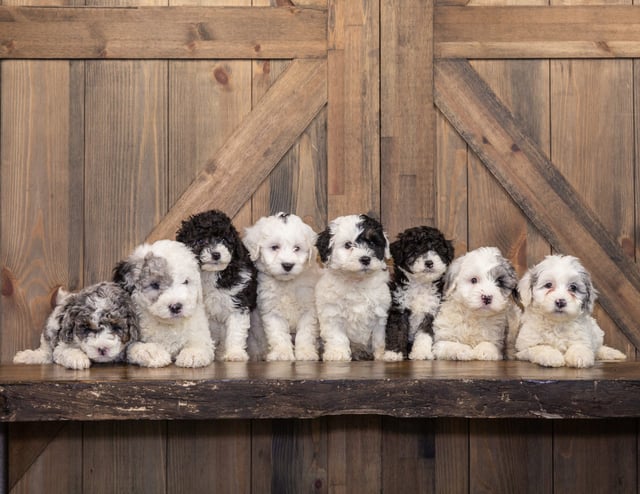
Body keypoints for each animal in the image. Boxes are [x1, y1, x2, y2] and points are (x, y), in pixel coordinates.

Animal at [176, 210, 258, 360]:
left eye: (224, 241)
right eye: (201, 241)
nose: (216, 254)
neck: (211, 274)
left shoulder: (238, 302)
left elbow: (236, 331)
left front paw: (235, 353)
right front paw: (200, 352)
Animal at [245, 211, 324, 358]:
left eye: (297, 248)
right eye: (274, 247)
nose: (287, 265)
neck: (287, 284)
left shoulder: (309, 310)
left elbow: (305, 333)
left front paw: (305, 353)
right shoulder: (272, 311)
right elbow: (278, 334)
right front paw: (281, 353)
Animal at [316, 214, 392, 360]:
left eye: (372, 243)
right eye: (348, 245)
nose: (365, 259)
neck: (357, 281)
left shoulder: (380, 313)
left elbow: (379, 338)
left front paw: (381, 354)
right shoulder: (332, 313)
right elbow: (337, 336)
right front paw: (338, 353)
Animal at [384, 226, 456, 360]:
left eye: (436, 250)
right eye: (414, 251)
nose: (429, 263)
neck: (420, 284)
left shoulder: (431, 310)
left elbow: (424, 333)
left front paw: (421, 352)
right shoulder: (399, 308)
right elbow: (397, 331)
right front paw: (393, 353)